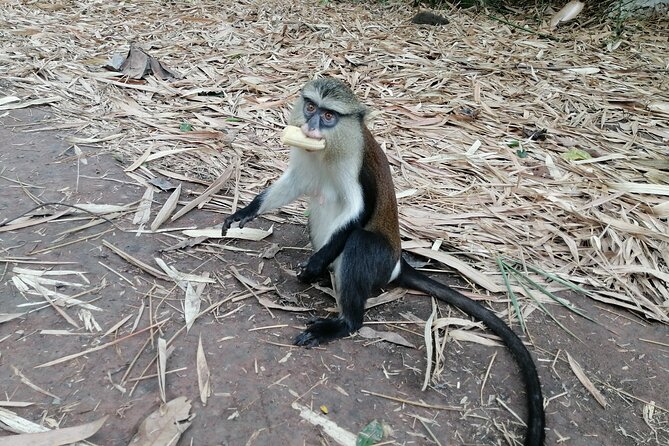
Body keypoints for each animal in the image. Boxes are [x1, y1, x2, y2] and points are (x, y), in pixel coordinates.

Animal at [221, 78, 545, 445]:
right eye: (311, 107)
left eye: (330, 116)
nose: (311, 126)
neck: (329, 151)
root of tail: (398, 263)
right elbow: (289, 186)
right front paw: (245, 212)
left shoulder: (356, 169)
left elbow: (358, 214)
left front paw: (315, 264)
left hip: (376, 259)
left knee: (359, 244)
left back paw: (341, 319)